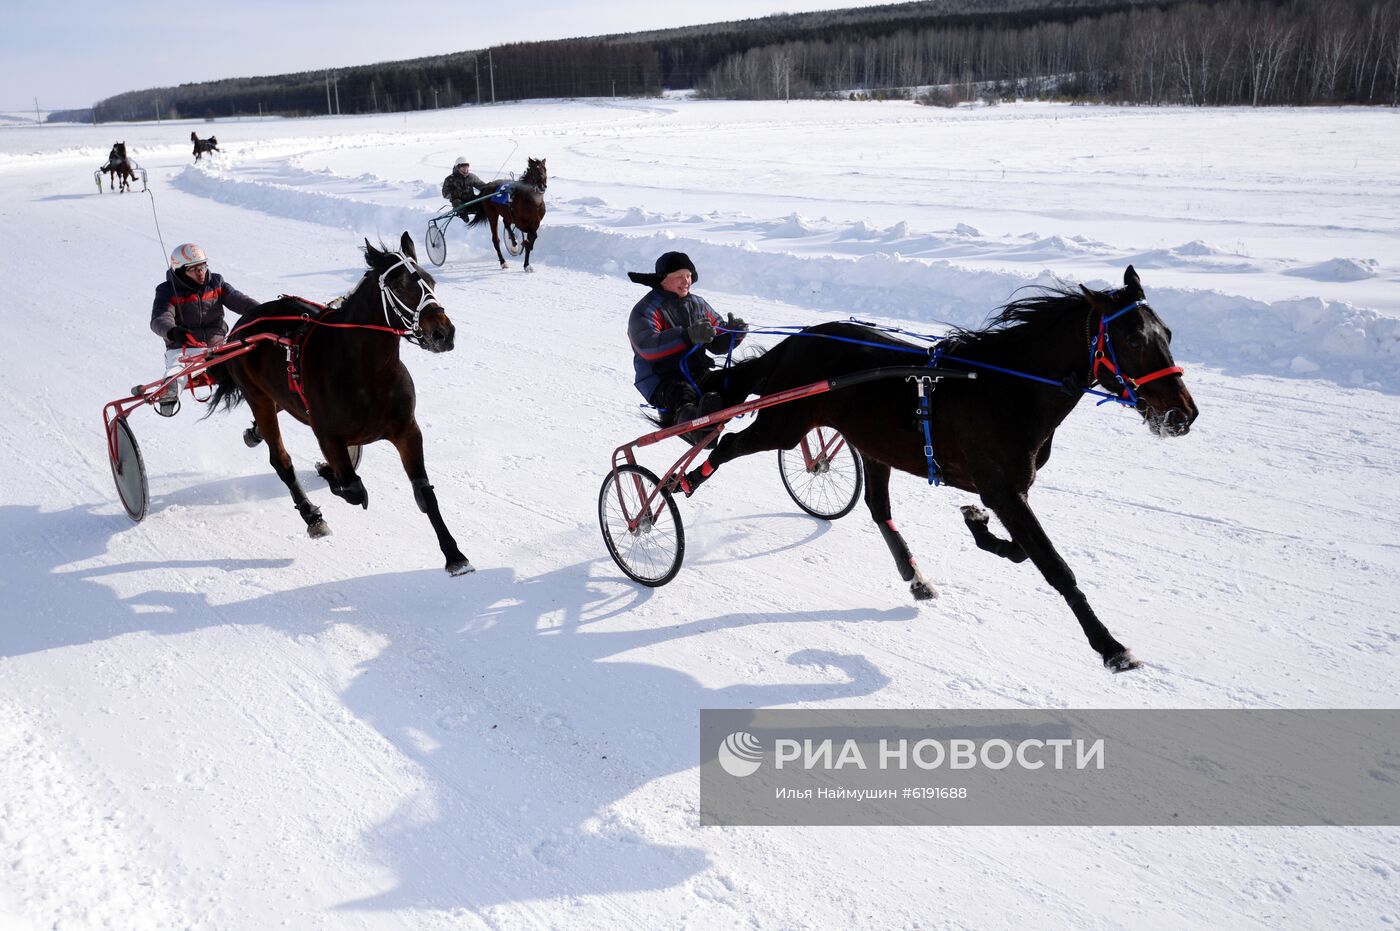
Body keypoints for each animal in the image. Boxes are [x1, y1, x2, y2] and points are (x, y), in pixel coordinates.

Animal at [204, 231, 473, 574]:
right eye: (399, 286)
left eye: (430, 281)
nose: (443, 333)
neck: (368, 373)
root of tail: (241, 327)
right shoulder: (327, 434)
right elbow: (353, 488)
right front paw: (328, 473)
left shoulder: (407, 430)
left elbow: (424, 494)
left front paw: (455, 555)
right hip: (258, 395)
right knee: (281, 460)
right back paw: (311, 514)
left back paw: (254, 433)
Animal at [683, 264, 1198, 672]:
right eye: (1132, 338)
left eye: (1169, 334)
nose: (1184, 415)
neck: (1007, 388)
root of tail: (798, 340)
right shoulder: (1002, 488)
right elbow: (1054, 566)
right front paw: (1111, 648)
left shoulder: (1012, 490)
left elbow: (1021, 550)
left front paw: (978, 525)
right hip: (784, 425)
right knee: (725, 445)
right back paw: (680, 485)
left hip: (872, 445)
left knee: (877, 507)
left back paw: (916, 577)